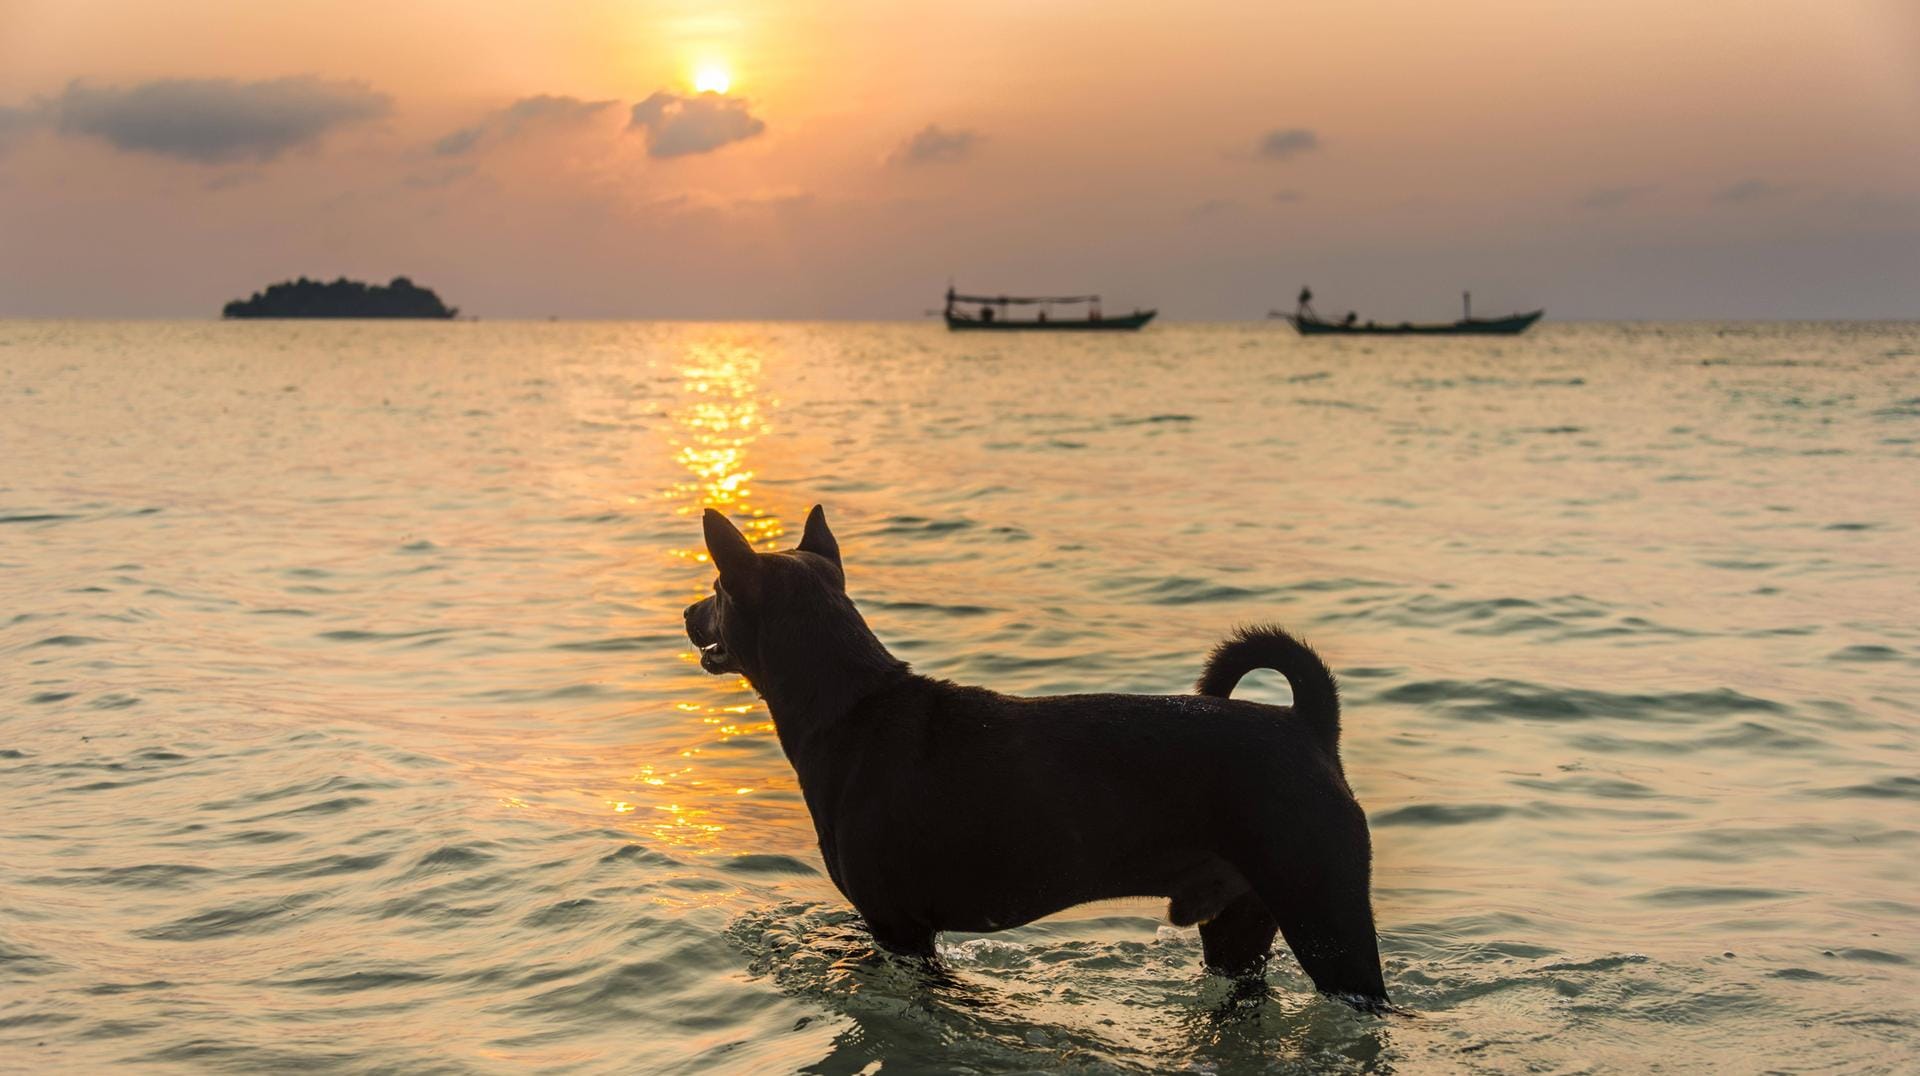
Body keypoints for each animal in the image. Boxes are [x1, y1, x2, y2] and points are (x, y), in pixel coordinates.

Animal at [683, 507, 1390, 1014]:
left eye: (716, 587)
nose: (688, 612)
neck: (851, 703)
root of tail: (1307, 725)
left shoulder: (899, 929)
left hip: (1328, 919)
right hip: (1238, 928)